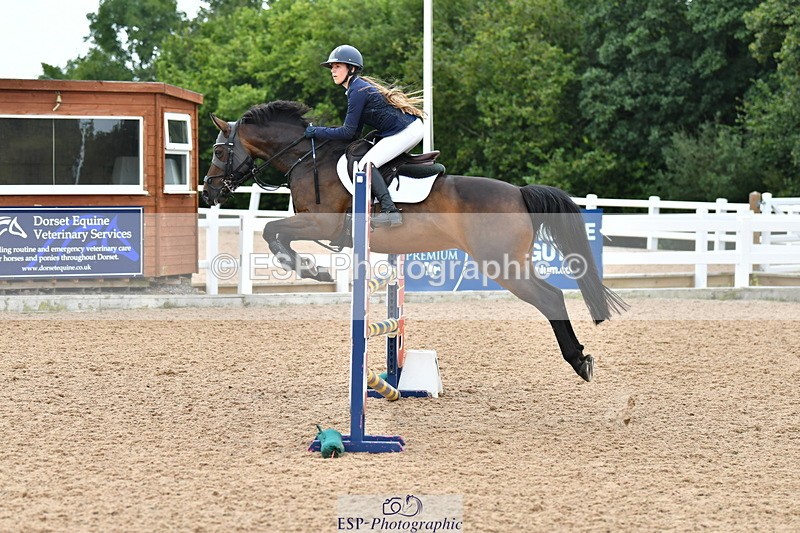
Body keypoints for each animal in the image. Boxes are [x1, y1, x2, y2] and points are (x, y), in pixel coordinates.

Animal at [201, 100, 628, 381]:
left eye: (220, 150)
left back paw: (578, 361)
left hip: (501, 264)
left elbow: (273, 231)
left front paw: (311, 269)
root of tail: (520, 193)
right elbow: (275, 233)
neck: (308, 160)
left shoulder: (320, 223)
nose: (209, 193)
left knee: (550, 298)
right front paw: (312, 268)